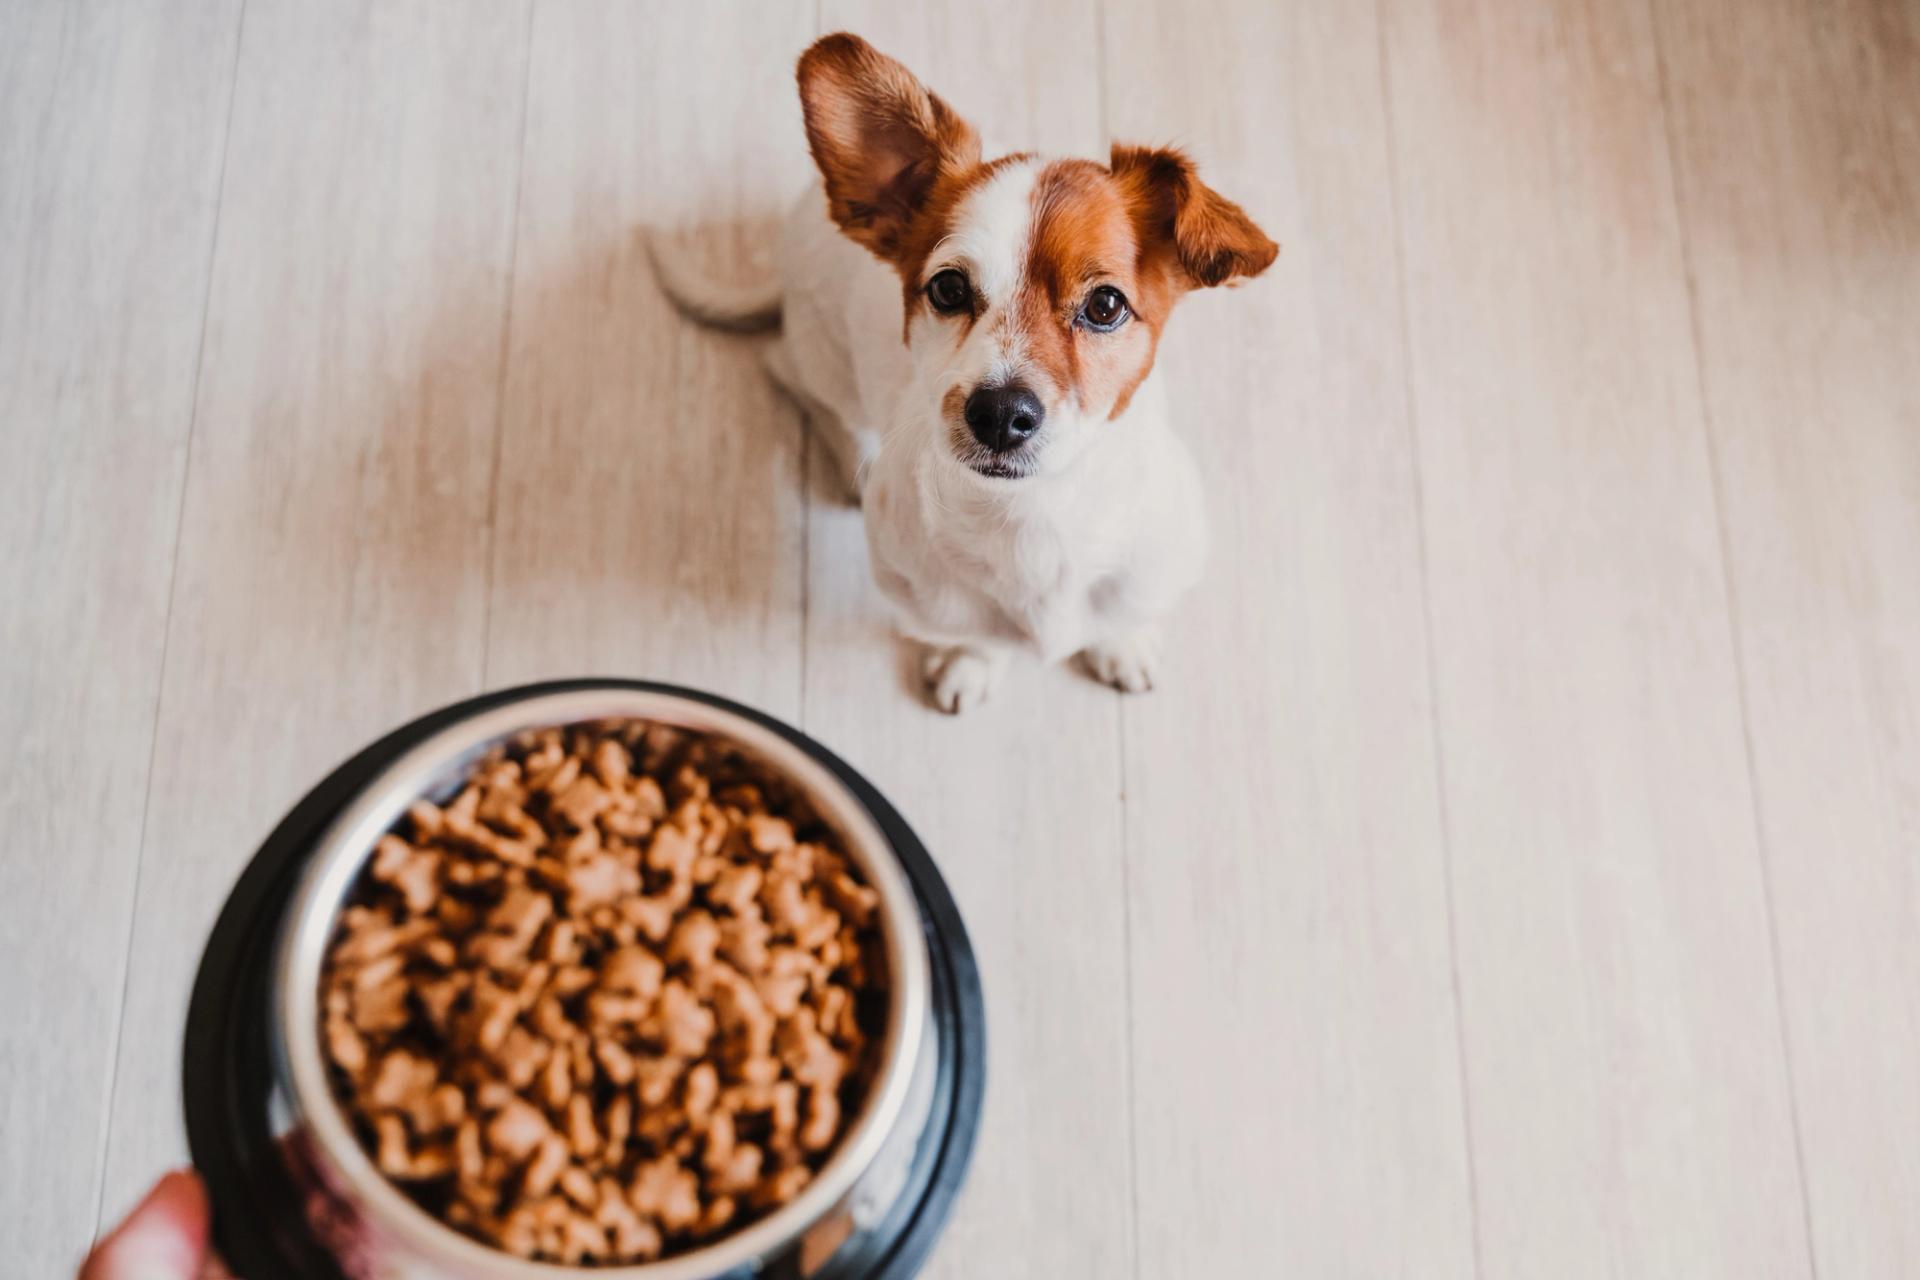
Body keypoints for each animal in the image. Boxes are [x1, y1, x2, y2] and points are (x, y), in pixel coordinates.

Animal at [656, 32, 1274, 710]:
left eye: (1106, 305)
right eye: (948, 288)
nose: (1000, 413)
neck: (1032, 518)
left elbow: (1125, 615)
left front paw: (1123, 643)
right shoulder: (927, 599)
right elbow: (975, 637)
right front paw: (970, 662)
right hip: (823, 364)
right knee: (791, 374)